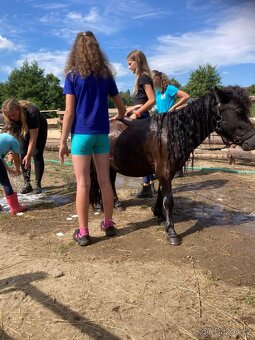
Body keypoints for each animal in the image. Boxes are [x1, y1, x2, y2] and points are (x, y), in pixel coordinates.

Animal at [89, 85, 255, 244]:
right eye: (239, 111)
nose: (252, 141)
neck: (172, 133)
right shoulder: (164, 172)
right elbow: (168, 201)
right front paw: (172, 233)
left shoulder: (167, 172)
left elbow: (162, 195)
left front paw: (159, 215)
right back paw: (99, 206)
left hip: (112, 166)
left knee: (109, 183)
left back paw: (116, 204)